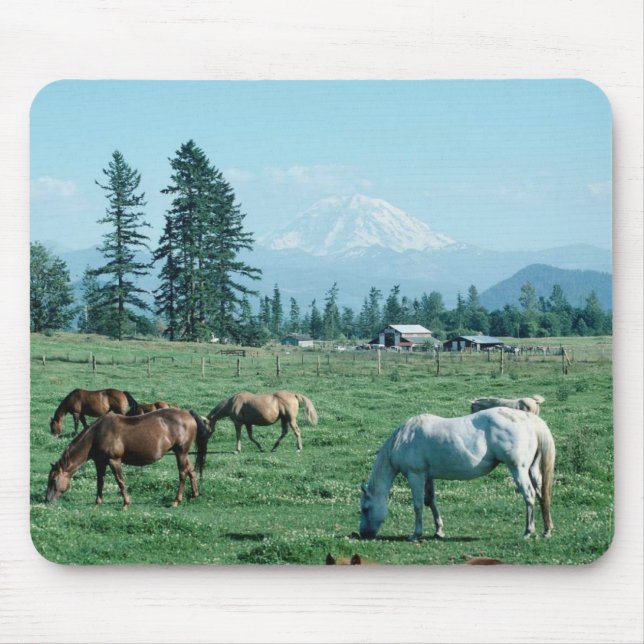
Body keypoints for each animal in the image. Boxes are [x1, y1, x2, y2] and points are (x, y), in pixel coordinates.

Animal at [45, 408, 211, 508]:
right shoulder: (100, 462)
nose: (47, 500)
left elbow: (120, 480)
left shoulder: (114, 461)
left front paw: (125, 503)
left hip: (180, 453)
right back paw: (194, 495)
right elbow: (100, 481)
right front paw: (98, 502)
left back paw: (176, 500)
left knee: (183, 473)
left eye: (53, 480)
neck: (97, 434)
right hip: (183, 453)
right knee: (191, 470)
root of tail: (188, 414)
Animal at [359, 407, 555, 541]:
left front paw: (416, 534)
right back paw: (546, 530)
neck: (404, 438)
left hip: (518, 469)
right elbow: (429, 501)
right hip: (532, 470)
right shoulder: (428, 476)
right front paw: (438, 531)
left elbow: (418, 505)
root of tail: (528, 420)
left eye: (365, 508)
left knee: (529, 495)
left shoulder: (416, 475)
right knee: (541, 495)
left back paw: (528, 531)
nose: (363, 534)